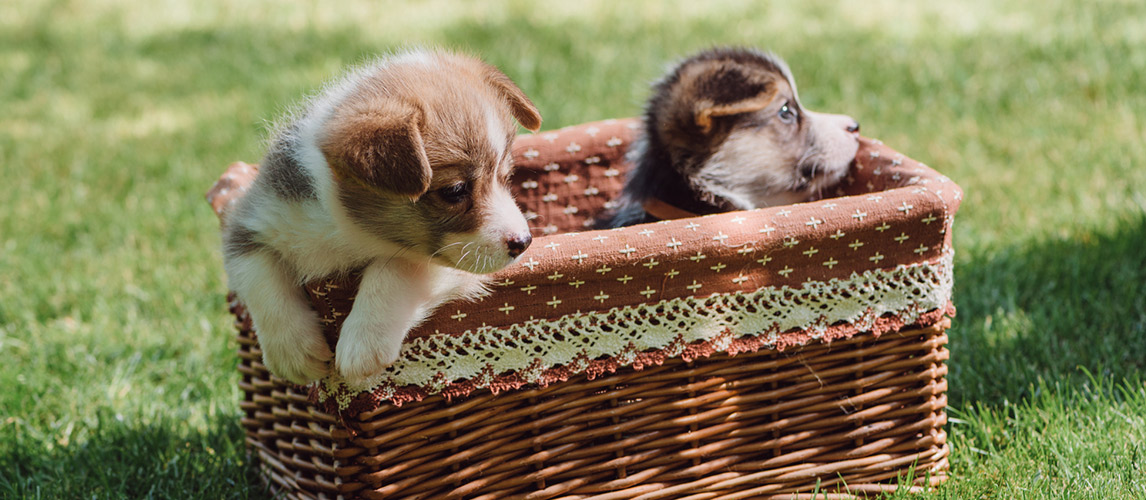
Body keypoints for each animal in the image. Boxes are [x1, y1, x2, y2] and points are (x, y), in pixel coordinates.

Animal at [224, 49, 545, 387]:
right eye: (455, 191)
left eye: (506, 177)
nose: (524, 242)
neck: (350, 232)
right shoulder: (252, 219)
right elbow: (260, 278)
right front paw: (293, 352)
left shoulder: (445, 261)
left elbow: (394, 269)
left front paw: (363, 344)